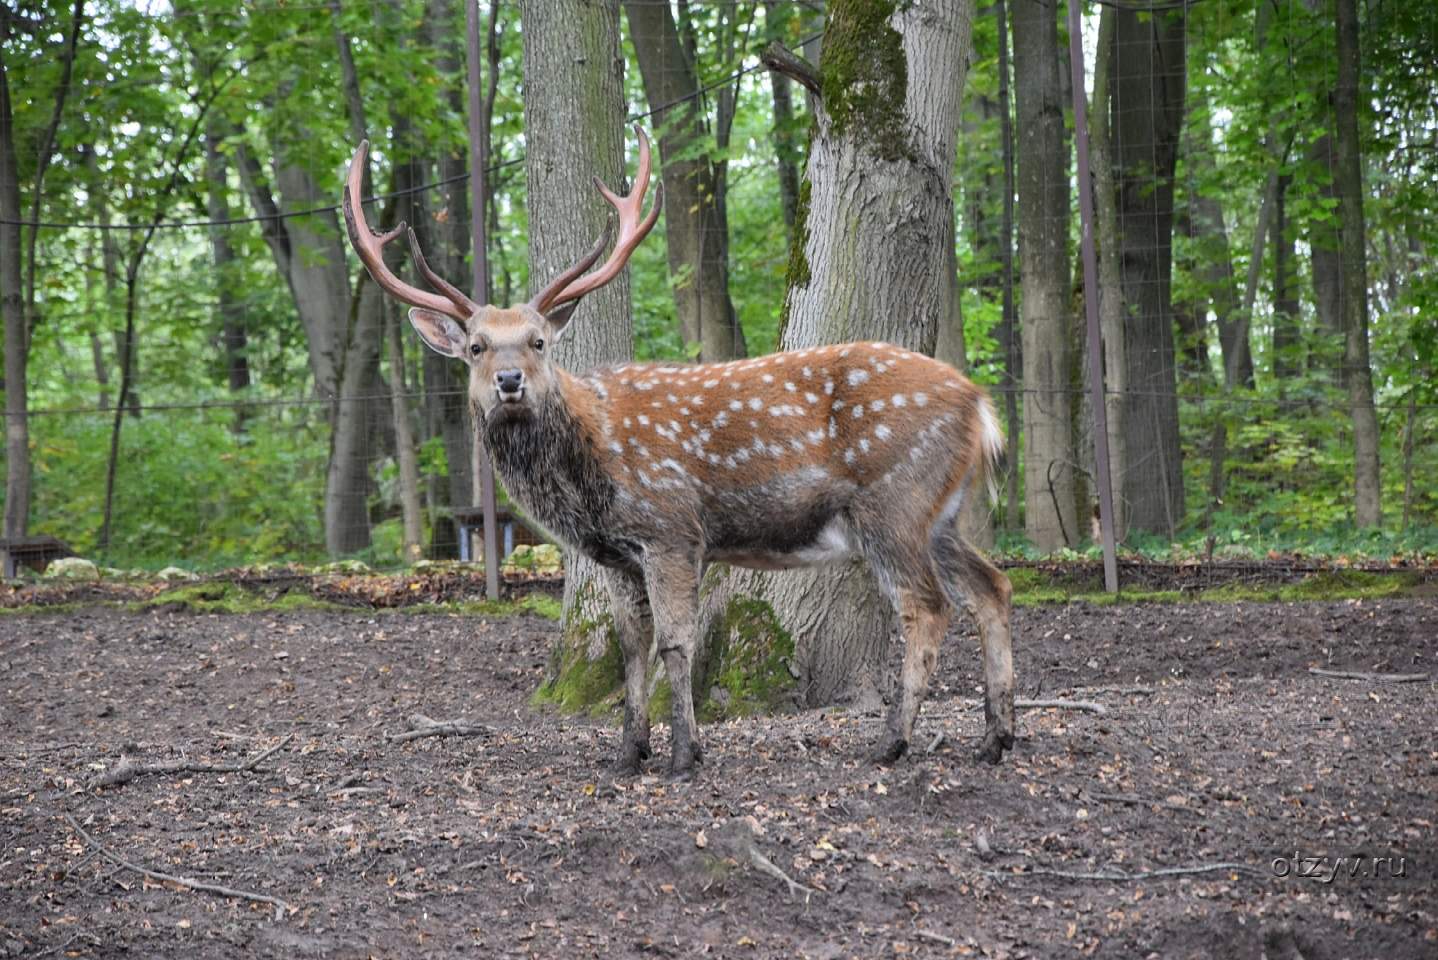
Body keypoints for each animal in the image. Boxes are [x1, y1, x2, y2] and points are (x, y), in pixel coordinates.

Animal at [339, 129, 1012, 781]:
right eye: (476, 346)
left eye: (538, 341)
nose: (509, 381)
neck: (591, 478)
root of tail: (979, 404)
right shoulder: (617, 555)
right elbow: (630, 649)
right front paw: (627, 752)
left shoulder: (670, 530)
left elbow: (675, 643)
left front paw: (685, 755)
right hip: (940, 513)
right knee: (992, 585)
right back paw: (995, 739)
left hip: (894, 500)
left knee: (928, 607)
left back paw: (893, 742)